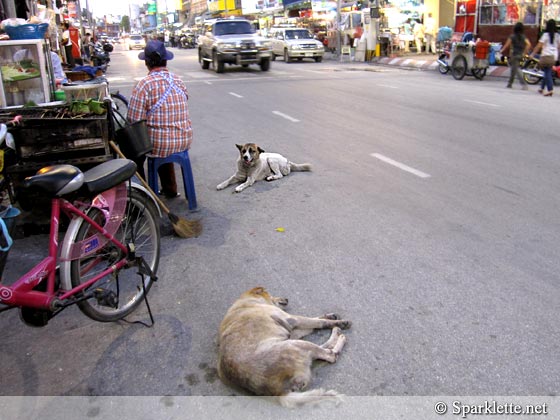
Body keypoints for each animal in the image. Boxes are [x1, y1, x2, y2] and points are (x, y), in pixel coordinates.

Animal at [218, 288, 352, 406]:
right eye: (272, 294)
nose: (286, 299)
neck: (248, 301)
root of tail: (279, 392)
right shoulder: (291, 319)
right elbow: (319, 322)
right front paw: (340, 322)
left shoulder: (293, 330)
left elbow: (315, 320)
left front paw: (330, 316)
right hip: (293, 344)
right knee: (330, 355)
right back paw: (338, 336)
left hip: (292, 341)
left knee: (323, 349)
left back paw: (335, 335)